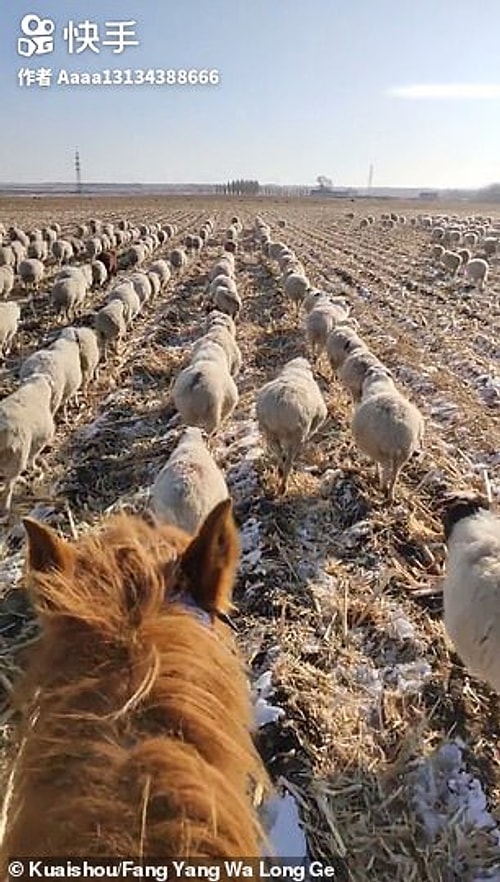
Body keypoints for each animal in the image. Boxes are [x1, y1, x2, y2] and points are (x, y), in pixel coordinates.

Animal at [258, 358, 328, 496]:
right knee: (289, 462)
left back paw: (280, 472)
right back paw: (283, 486)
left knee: (279, 455)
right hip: (296, 434)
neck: (296, 371)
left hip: (270, 433)